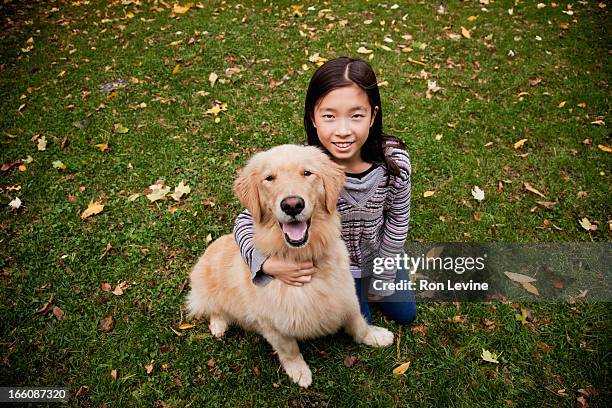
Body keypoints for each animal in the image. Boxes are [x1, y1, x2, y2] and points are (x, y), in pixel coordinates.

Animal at [185, 145, 392, 388]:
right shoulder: (272, 324)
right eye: (269, 178)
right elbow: (290, 350)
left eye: (307, 173)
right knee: (211, 308)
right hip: (205, 287)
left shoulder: (345, 297)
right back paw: (218, 326)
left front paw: (374, 336)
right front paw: (299, 371)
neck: (302, 257)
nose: (292, 205)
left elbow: (358, 323)